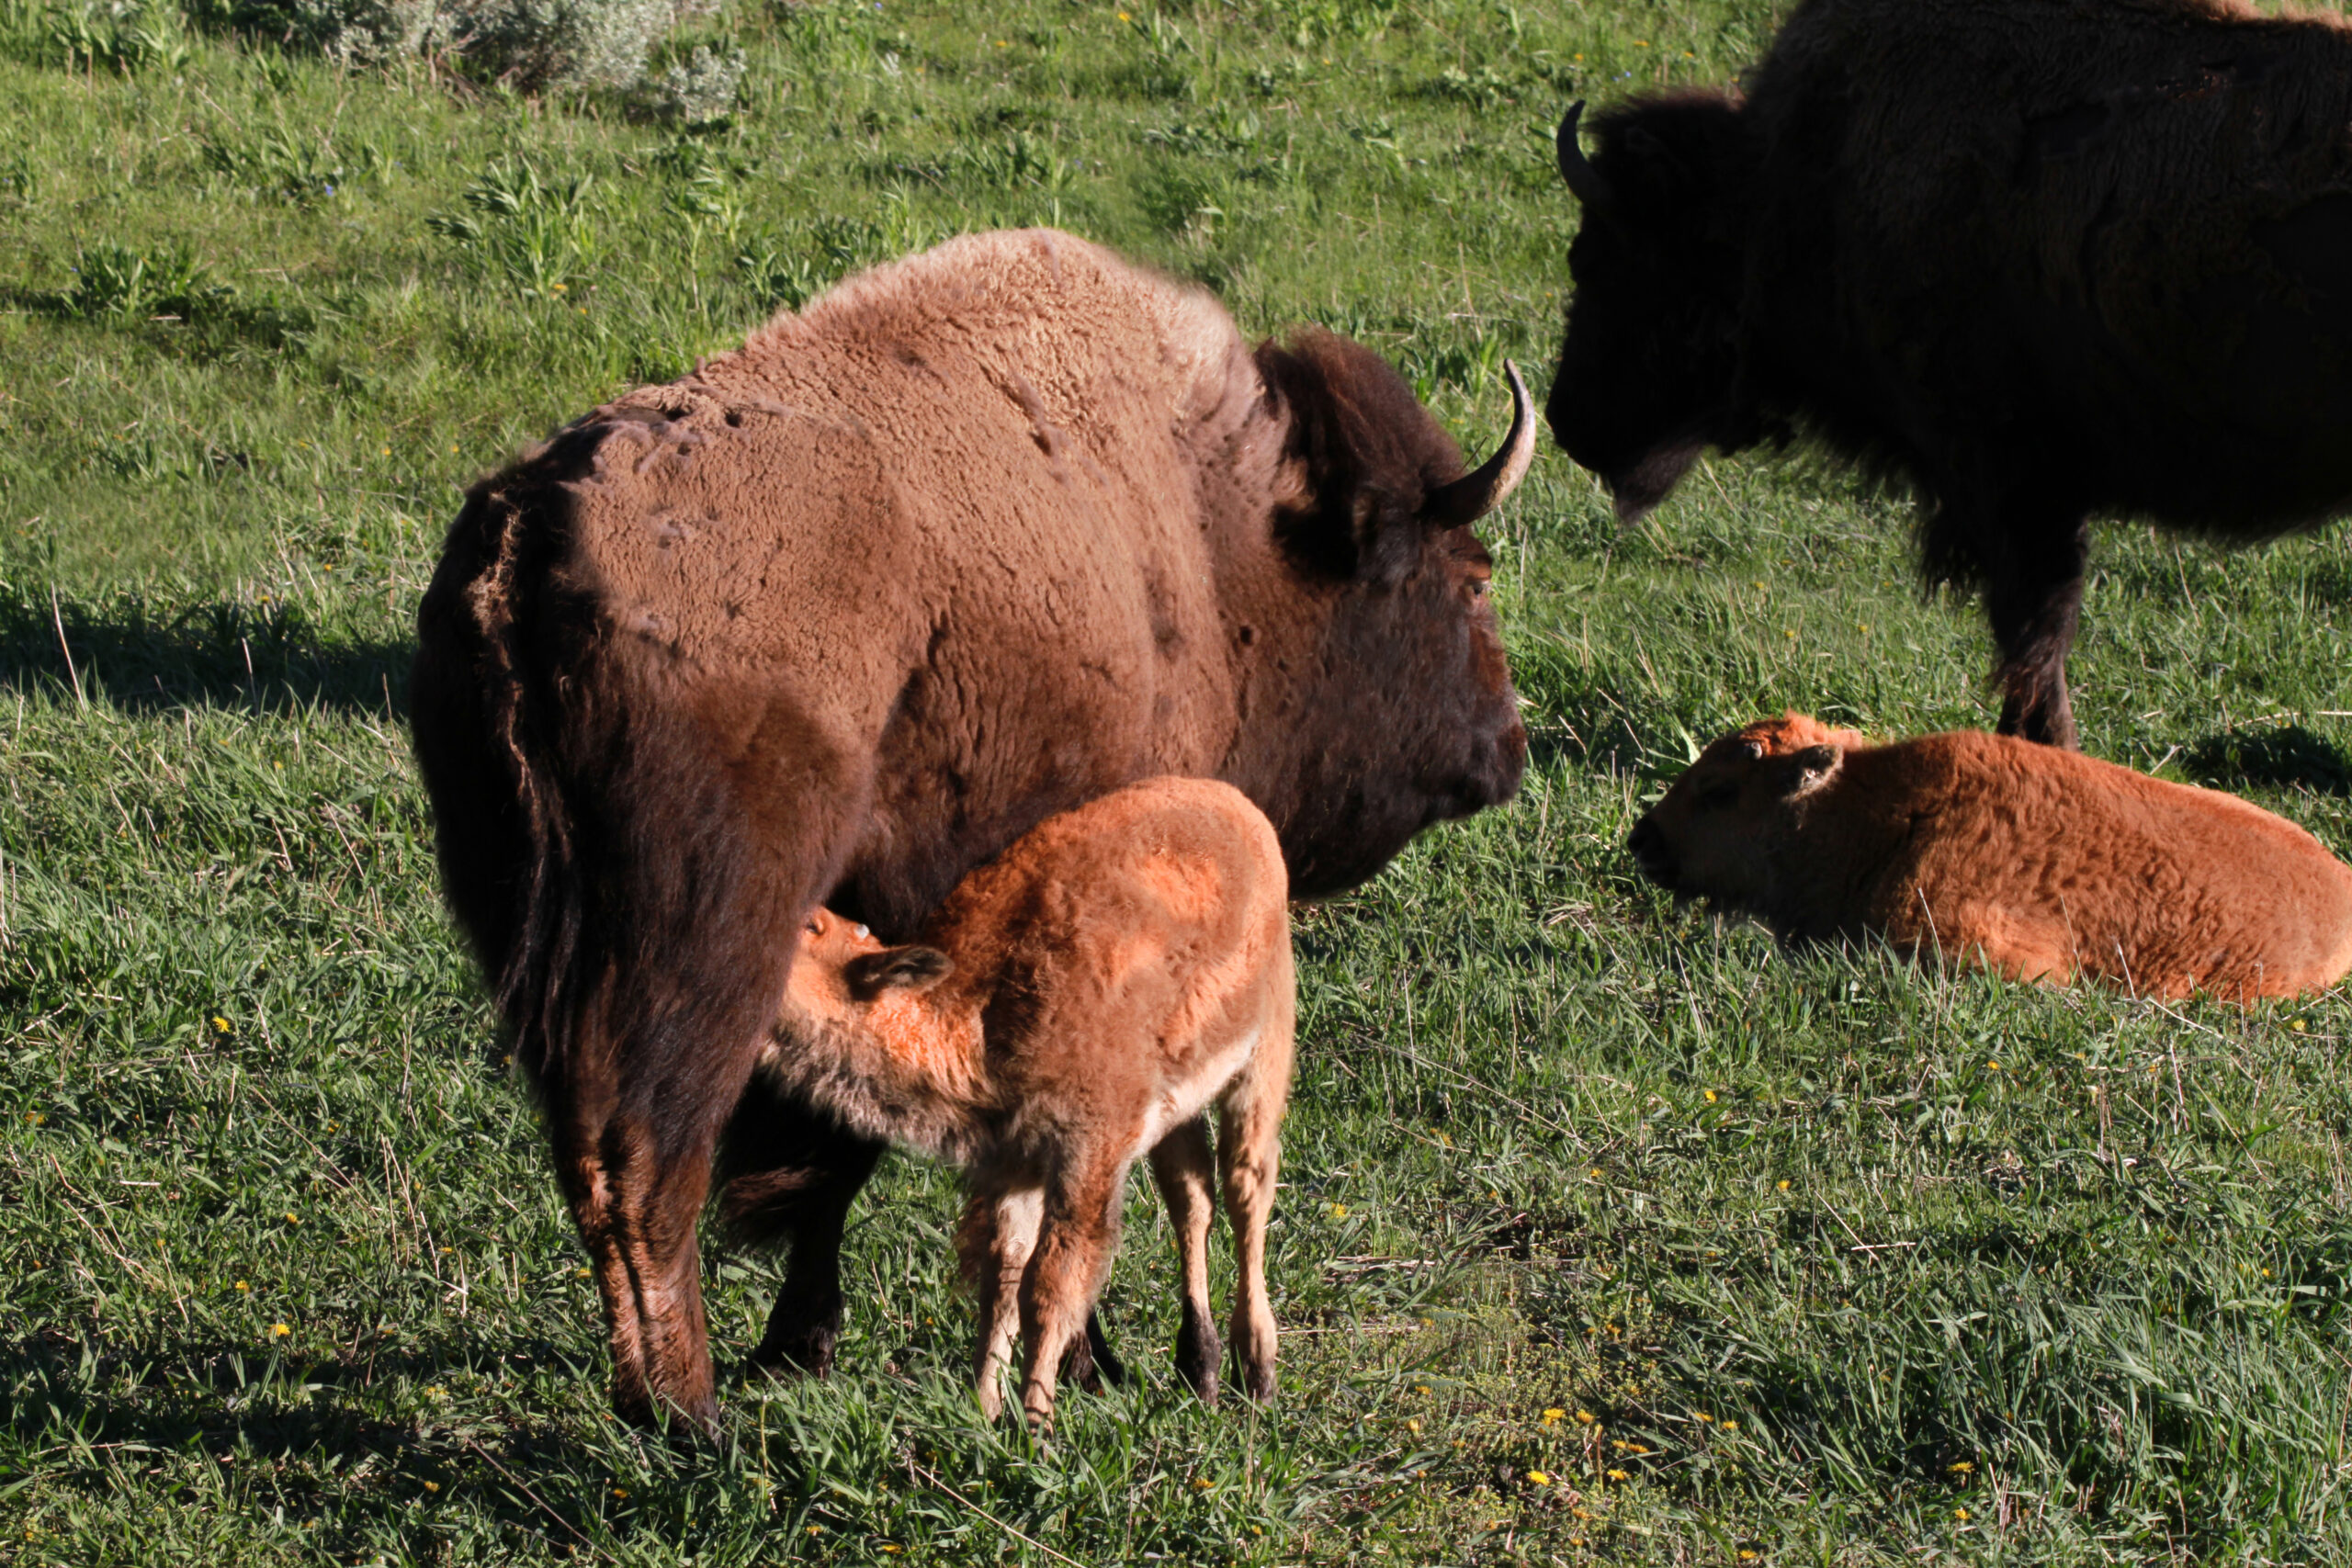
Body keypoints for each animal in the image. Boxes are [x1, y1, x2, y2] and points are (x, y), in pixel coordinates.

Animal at [768, 776, 1293, 1430]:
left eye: (812, 928)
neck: (985, 1014)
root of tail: (1236, 806)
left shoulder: (1088, 1156)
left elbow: (1051, 1285)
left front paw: (1035, 1426)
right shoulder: (1012, 1166)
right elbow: (1003, 1279)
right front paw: (983, 1410)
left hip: (1263, 1057)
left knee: (1247, 1188)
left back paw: (1260, 1375)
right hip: (1179, 1108)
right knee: (1191, 1199)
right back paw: (1201, 1372)